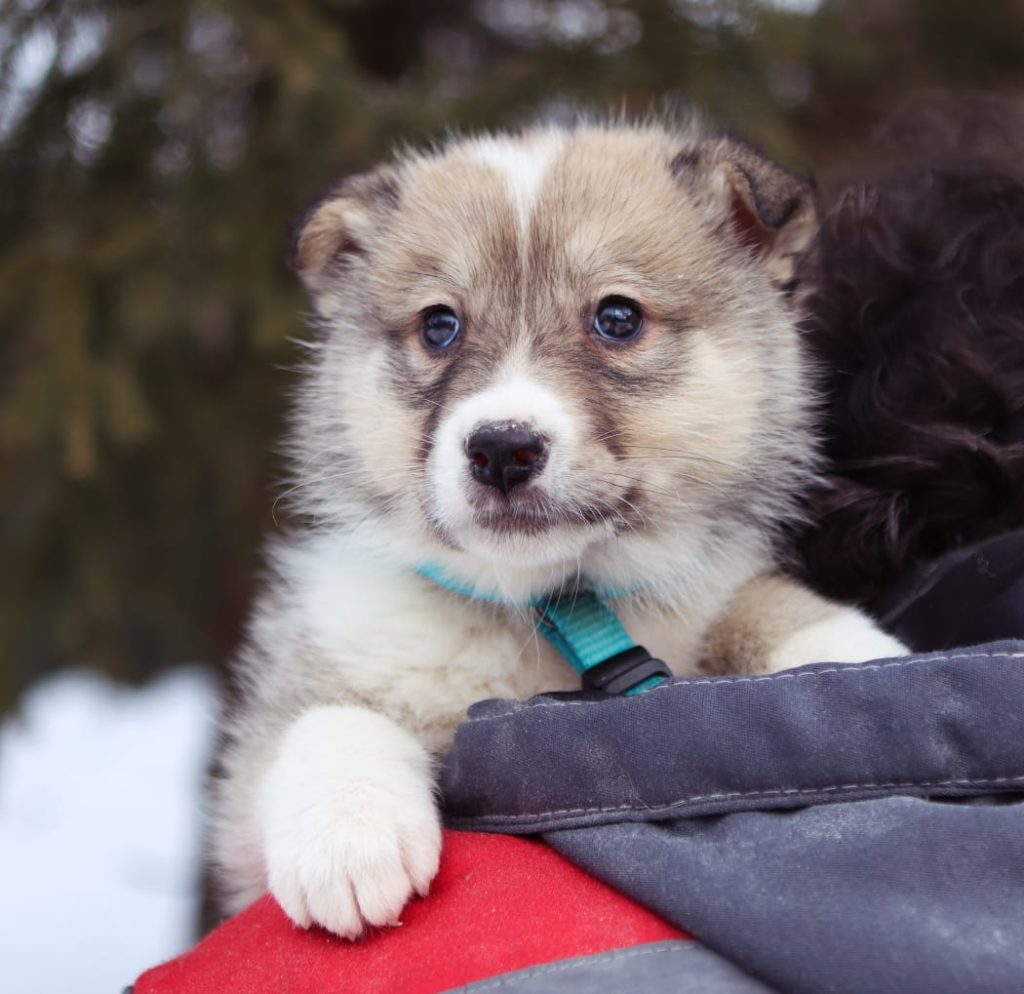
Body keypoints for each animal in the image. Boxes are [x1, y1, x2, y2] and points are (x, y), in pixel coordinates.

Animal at [207, 122, 905, 941]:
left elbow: (766, 603)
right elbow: (327, 715)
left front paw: (861, 660)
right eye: (439, 326)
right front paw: (346, 834)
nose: (501, 449)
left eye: (617, 317)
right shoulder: (325, 667)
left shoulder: (709, 584)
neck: (548, 609)